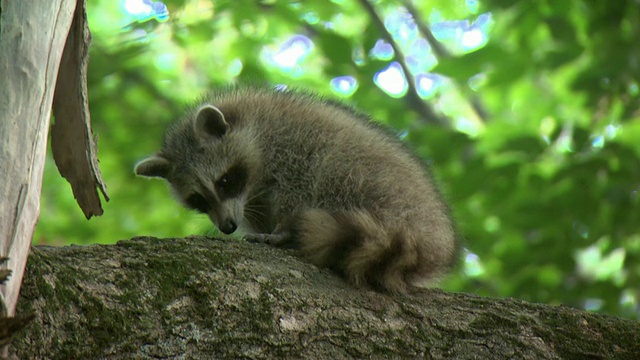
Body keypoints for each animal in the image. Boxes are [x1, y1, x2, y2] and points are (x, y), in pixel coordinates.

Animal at [135, 86, 458, 292]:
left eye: (225, 182)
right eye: (198, 200)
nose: (227, 227)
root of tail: (434, 242)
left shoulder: (292, 147)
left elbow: (297, 192)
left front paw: (282, 231)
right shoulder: (251, 201)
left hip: (379, 189)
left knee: (333, 170)